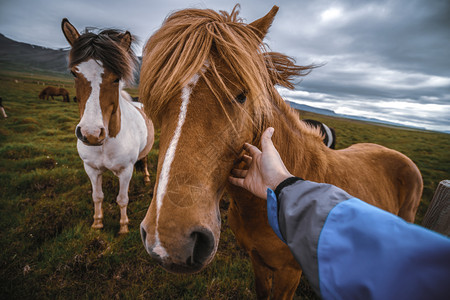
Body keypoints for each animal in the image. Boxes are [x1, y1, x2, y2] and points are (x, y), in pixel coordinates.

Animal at [62, 18, 155, 234]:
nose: (91, 133)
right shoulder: (91, 169)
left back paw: (147, 178)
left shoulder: (126, 171)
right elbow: (97, 196)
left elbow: (122, 199)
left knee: (145, 160)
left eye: (116, 78)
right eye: (74, 73)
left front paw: (123, 227)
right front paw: (97, 223)